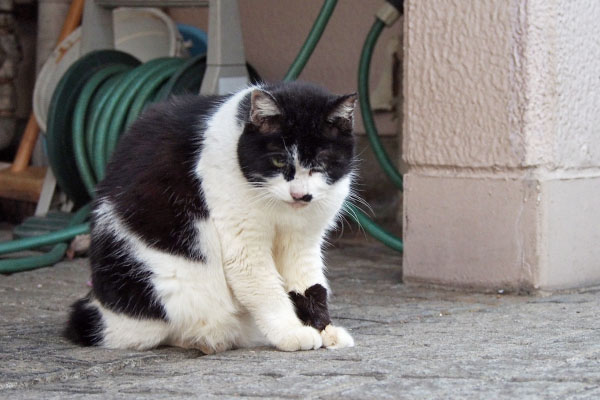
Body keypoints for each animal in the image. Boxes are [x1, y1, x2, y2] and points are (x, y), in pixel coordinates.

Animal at [64, 81, 356, 354]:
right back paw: (207, 339)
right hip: (169, 283)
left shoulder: (303, 240)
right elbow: (265, 287)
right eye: (278, 162)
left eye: (321, 164)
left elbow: (311, 285)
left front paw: (325, 329)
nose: (300, 195)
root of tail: (104, 310)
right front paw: (291, 332)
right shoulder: (243, 241)